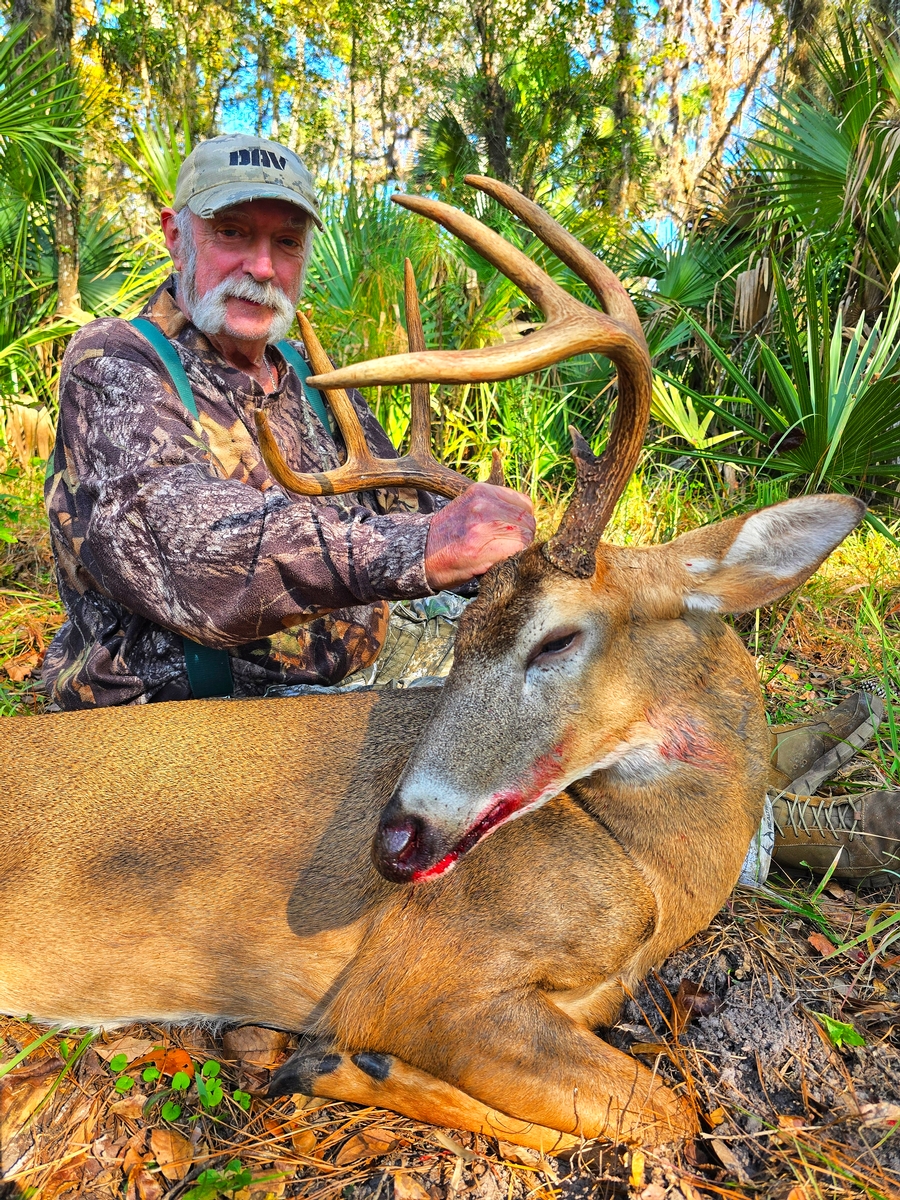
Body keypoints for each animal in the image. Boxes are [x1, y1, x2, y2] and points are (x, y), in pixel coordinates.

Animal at [0, 177, 863, 1156]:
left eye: (556, 639)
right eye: (463, 641)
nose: (395, 839)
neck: (649, 877)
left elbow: (642, 1112)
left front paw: (308, 1059)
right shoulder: (423, 980)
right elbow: (663, 1112)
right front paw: (334, 1063)